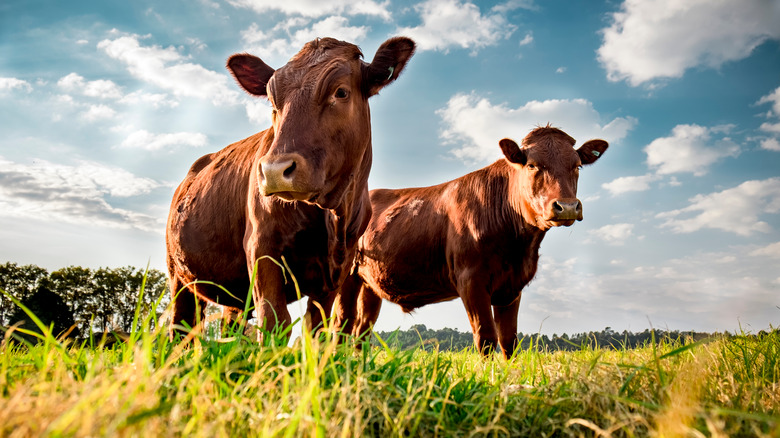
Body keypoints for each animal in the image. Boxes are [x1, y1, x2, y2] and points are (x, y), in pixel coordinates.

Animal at [168, 36, 418, 338]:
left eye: (341, 92)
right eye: (273, 101)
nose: (274, 171)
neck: (333, 215)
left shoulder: (338, 269)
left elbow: (316, 326)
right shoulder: (261, 246)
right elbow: (275, 320)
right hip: (179, 275)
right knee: (181, 325)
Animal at [332, 125, 608, 358]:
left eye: (577, 166)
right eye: (532, 165)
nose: (567, 207)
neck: (519, 248)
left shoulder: (512, 286)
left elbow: (508, 341)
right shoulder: (470, 279)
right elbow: (486, 338)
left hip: (370, 283)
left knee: (362, 330)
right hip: (346, 276)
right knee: (341, 325)